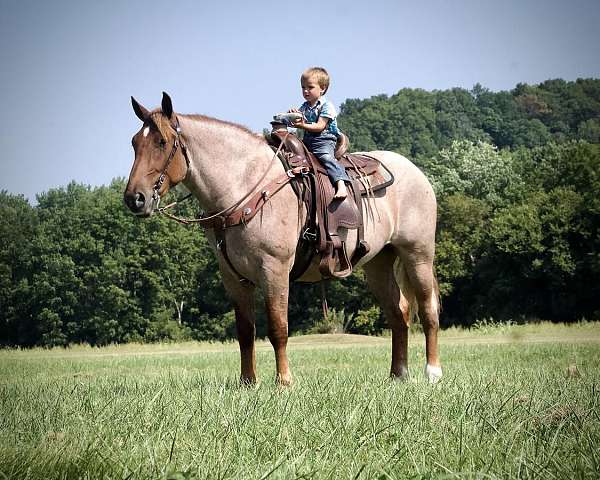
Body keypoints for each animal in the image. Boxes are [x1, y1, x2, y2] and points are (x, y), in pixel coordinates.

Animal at [123, 93, 440, 386]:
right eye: (135, 142)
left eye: (162, 142)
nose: (134, 198)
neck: (247, 187)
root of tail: (416, 172)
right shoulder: (233, 278)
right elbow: (245, 332)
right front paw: (248, 382)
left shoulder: (274, 269)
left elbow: (278, 328)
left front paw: (284, 381)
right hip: (378, 263)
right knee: (399, 314)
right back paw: (398, 374)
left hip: (418, 254)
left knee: (428, 310)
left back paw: (433, 372)